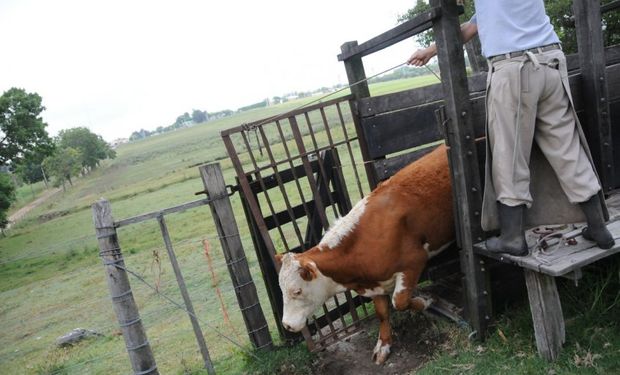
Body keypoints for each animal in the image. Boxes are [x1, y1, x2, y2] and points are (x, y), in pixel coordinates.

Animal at [276, 145, 456, 366]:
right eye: (282, 290)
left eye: (297, 291)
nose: (287, 325)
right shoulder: (373, 282)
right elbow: (382, 313)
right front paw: (383, 345)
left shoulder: (413, 262)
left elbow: (399, 301)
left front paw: (427, 301)